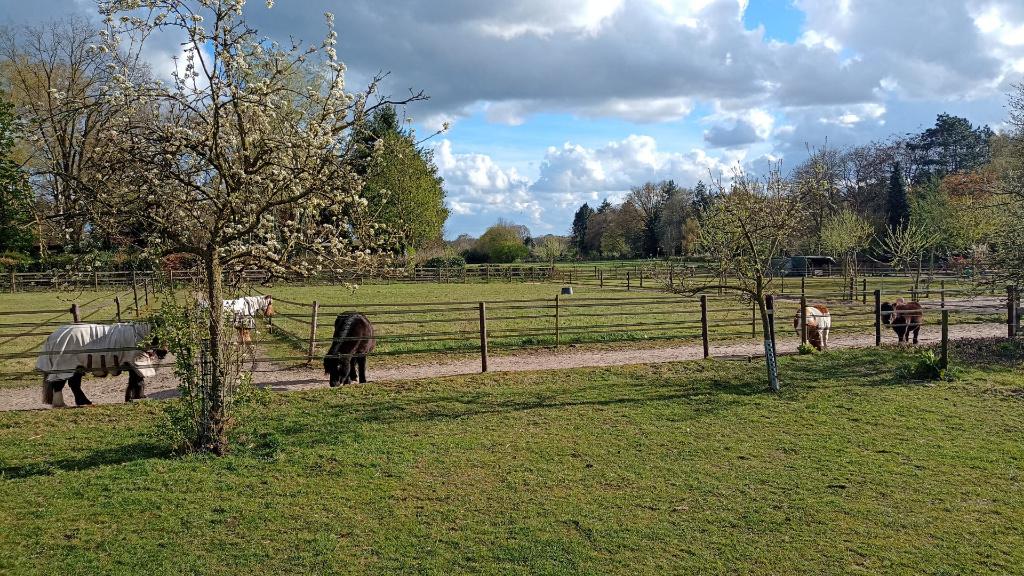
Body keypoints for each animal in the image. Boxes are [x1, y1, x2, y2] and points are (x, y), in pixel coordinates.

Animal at [36, 322, 167, 408]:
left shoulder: (132, 364)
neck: (140, 335)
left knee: (74, 385)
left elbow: (135, 381)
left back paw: (84, 402)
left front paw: (133, 397)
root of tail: (52, 336)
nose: (164, 352)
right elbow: (138, 380)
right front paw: (135, 397)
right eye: (159, 335)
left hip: (77, 367)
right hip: (65, 366)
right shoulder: (135, 362)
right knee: (59, 384)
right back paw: (61, 404)